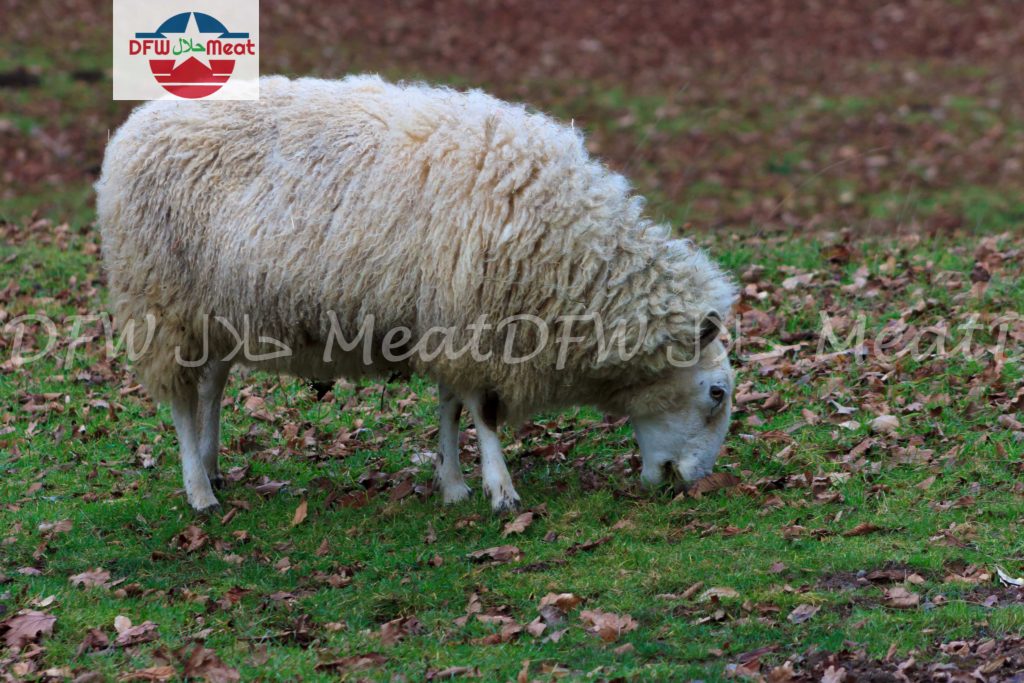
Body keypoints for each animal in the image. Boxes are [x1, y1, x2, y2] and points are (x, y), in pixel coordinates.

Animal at [95, 74, 737, 515]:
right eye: (717, 393)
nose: (693, 484)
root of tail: (134, 126)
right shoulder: (475, 323)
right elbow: (484, 412)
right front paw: (501, 490)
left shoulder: (446, 322)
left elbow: (451, 404)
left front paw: (453, 484)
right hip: (162, 301)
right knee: (183, 401)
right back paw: (198, 491)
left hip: (215, 309)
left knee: (210, 387)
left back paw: (211, 467)